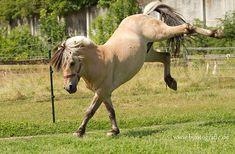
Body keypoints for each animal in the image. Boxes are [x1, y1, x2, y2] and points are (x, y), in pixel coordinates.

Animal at [50, 1, 223, 137]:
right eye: (62, 65)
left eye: (72, 63)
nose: (68, 88)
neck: (99, 61)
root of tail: (143, 15)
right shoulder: (105, 93)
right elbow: (109, 111)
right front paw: (112, 131)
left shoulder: (102, 91)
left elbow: (90, 111)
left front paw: (80, 132)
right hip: (147, 54)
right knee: (166, 56)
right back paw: (171, 82)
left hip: (161, 33)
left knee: (187, 27)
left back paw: (217, 33)